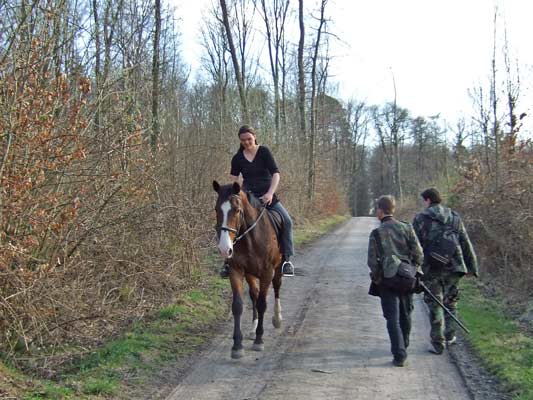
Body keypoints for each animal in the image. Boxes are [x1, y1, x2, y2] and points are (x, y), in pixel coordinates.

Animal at [212, 180, 283, 359]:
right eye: (216, 209)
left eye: (237, 210)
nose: (225, 249)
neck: (251, 238)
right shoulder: (236, 271)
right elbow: (238, 305)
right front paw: (237, 345)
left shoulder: (267, 273)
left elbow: (263, 304)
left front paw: (259, 340)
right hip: (251, 274)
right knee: (254, 294)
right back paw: (252, 329)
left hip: (277, 269)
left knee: (277, 288)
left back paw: (277, 319)